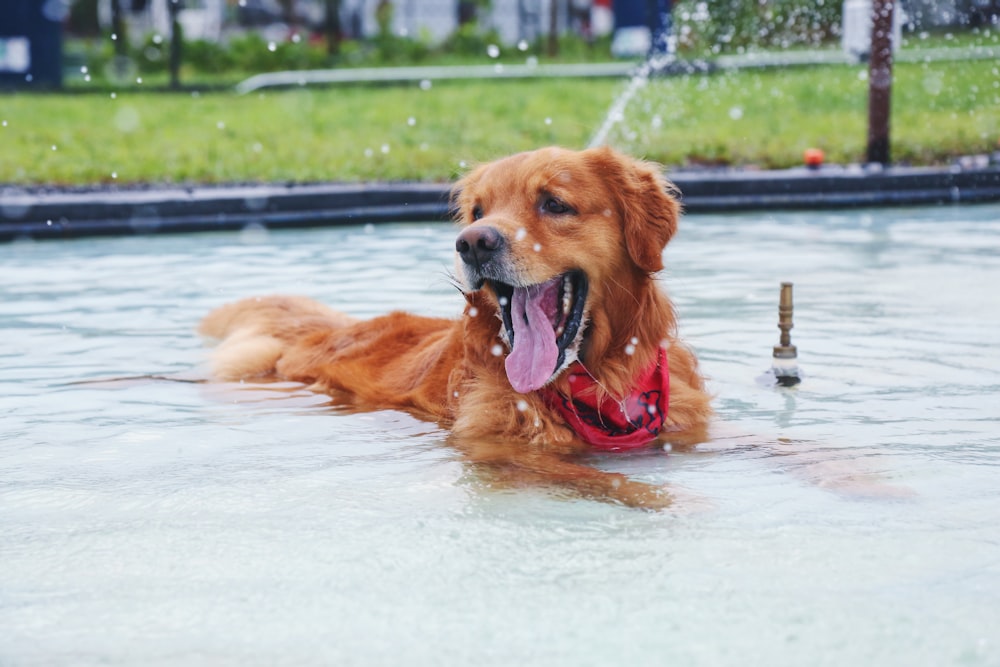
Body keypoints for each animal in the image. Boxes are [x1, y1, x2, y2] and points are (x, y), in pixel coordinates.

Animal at [199, 146, 712, 508]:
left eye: (554, 203)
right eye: (478, 212)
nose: (473, 243)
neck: (603, 385)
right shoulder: (500, 454)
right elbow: (604, 477)